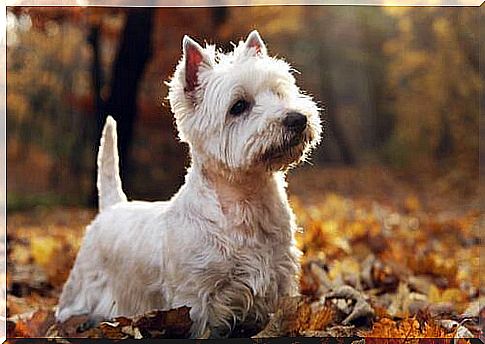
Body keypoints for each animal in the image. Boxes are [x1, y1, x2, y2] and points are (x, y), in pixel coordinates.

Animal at [55, 30, 322, 338]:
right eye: (239, 106)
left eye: (279, 93)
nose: (297, 119)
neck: (246, 202)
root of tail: (112, 207)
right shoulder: (195, 296)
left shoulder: (278, 278)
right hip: (84, 281)